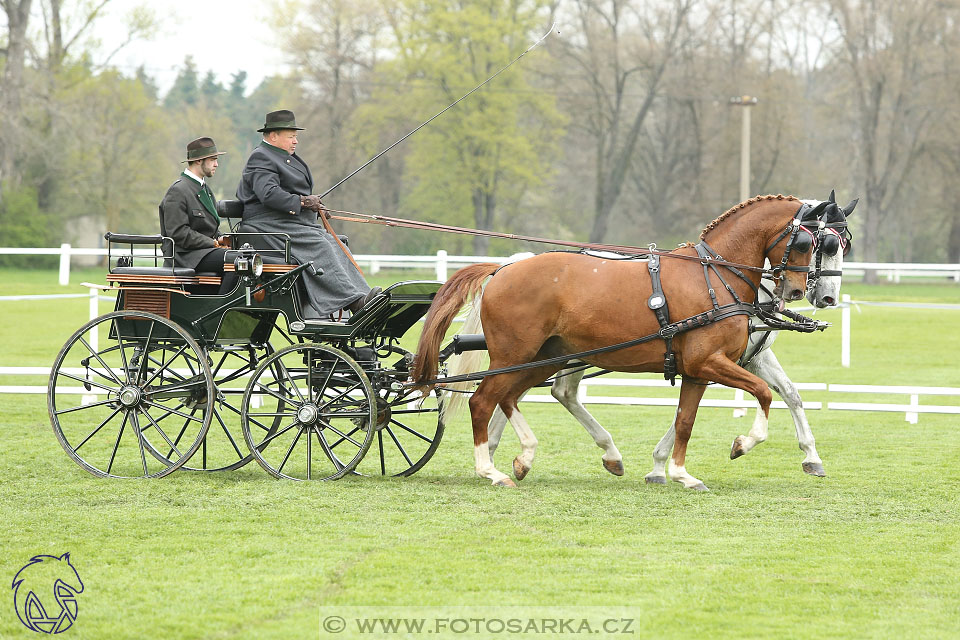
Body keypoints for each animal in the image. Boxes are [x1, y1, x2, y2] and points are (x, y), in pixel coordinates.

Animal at [412, 195, 816, 490]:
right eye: (805, 242)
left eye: (820, 243)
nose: (800, 291)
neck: (714, 275)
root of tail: (501, 269)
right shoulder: (708, 362)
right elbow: (762, 393)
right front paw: (743, 444)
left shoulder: (698, 370)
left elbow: (685, 420)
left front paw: (680, 474)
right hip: (515, 355)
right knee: (482, 401)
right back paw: (491, 471)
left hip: (544, 358)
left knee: (509, 397)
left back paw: (527, 457)